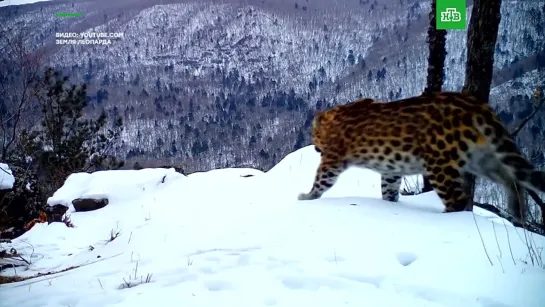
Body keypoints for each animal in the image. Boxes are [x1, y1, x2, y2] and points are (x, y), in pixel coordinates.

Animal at [298, 91, 544, 219]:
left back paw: (447, 217)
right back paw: (517, 212)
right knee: (512, 179)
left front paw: (306, 197)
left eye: (313, 134)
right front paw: (390, 204)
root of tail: (477, 105)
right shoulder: (391, 169)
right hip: (480, 158)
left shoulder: (332, 160)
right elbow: (388, 189)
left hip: (440, 164)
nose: (314, 146)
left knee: (457, 198)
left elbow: (321, 181)